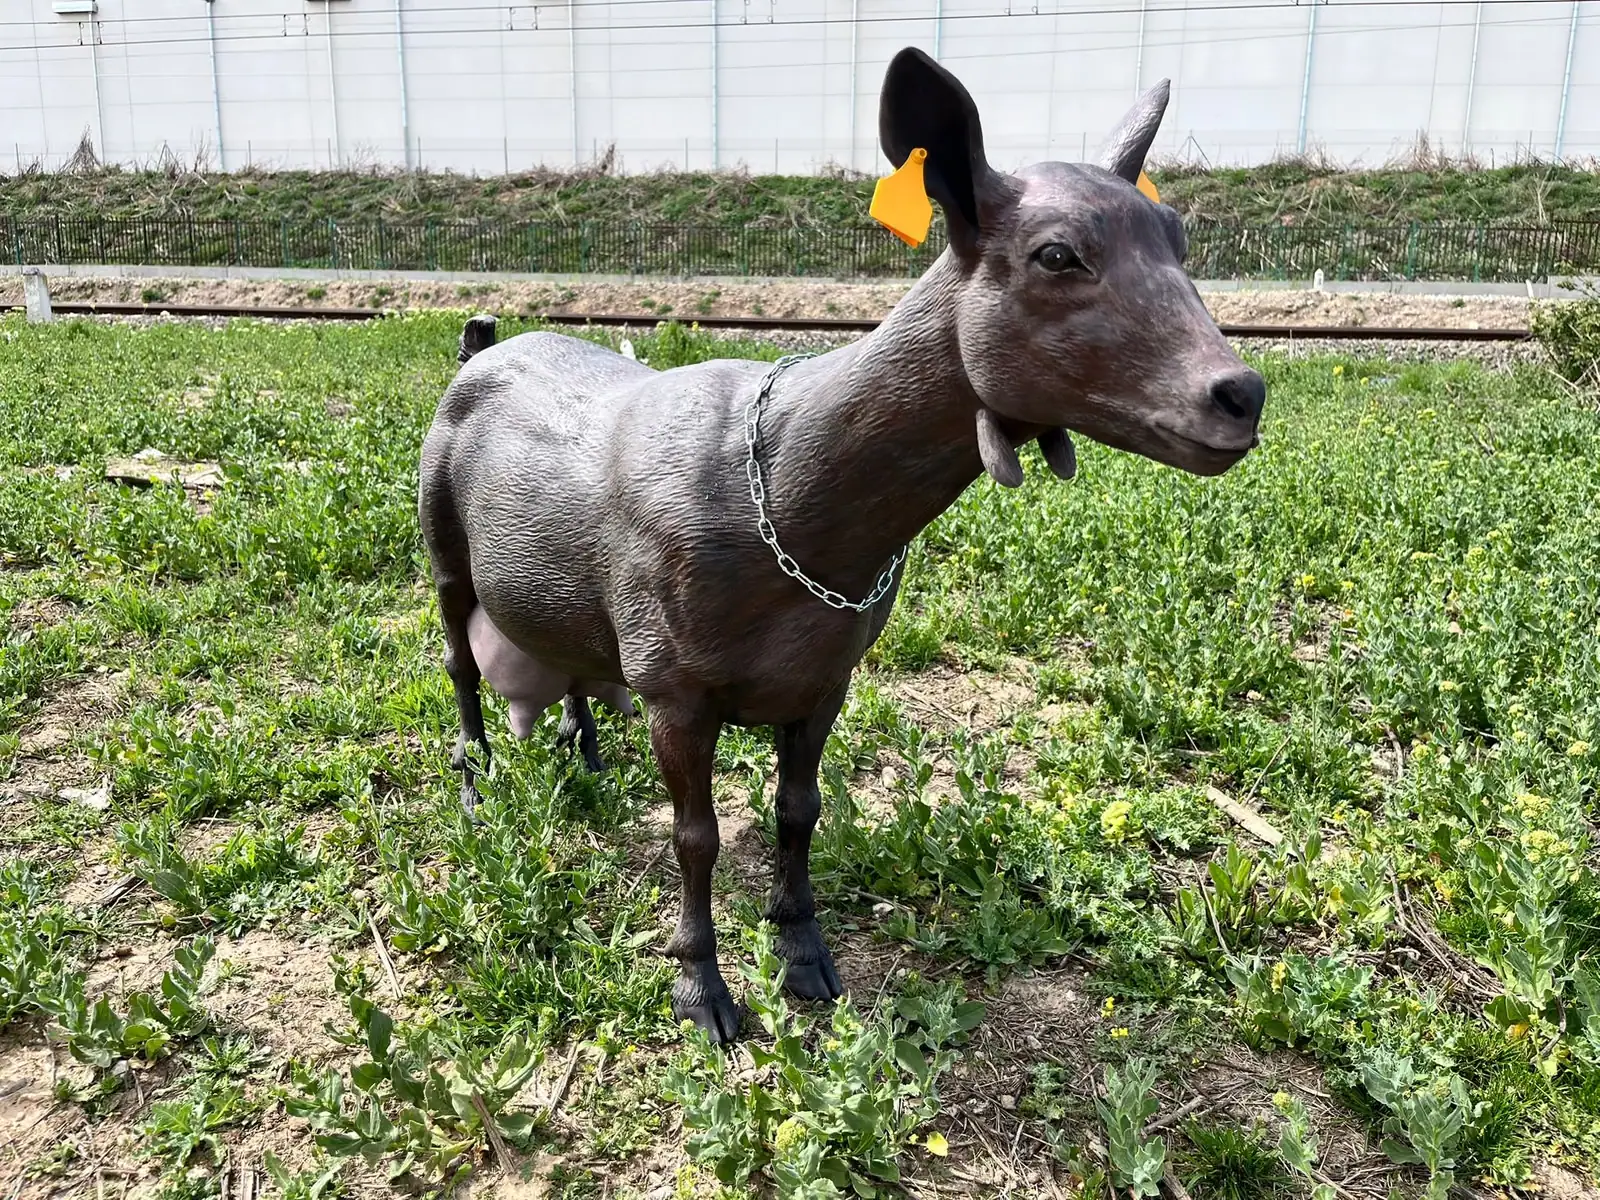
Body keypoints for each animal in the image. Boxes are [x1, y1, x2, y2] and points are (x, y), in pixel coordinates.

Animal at [419, 47, 1266, 1043]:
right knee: (461, 665)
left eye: (1177, 237)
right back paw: (475, 787)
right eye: (1057, 254)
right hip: (443, 548)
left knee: (571, 660)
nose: (1240, 394)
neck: (785, 491)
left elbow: (799, 810)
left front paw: (803, 952)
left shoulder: (825, 678)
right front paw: (703, 990)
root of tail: (481, 343)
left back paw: (584, 755)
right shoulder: (676, 689)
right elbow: (696, 837)